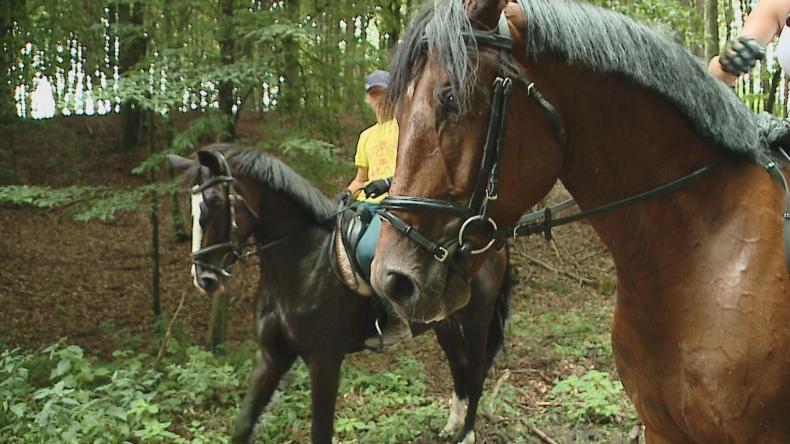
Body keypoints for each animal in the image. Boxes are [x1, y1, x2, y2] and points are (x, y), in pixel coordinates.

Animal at [169, 147, 510, 444]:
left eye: (214, 202)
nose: (204, 278)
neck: (302, 263)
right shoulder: (272, 354)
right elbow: (243, 425)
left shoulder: (324, 361)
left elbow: (321, 432)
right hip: (444, 323)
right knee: (459, 366)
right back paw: (452, 424)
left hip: (477, 319)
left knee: (476, 371)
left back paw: (466, 433)